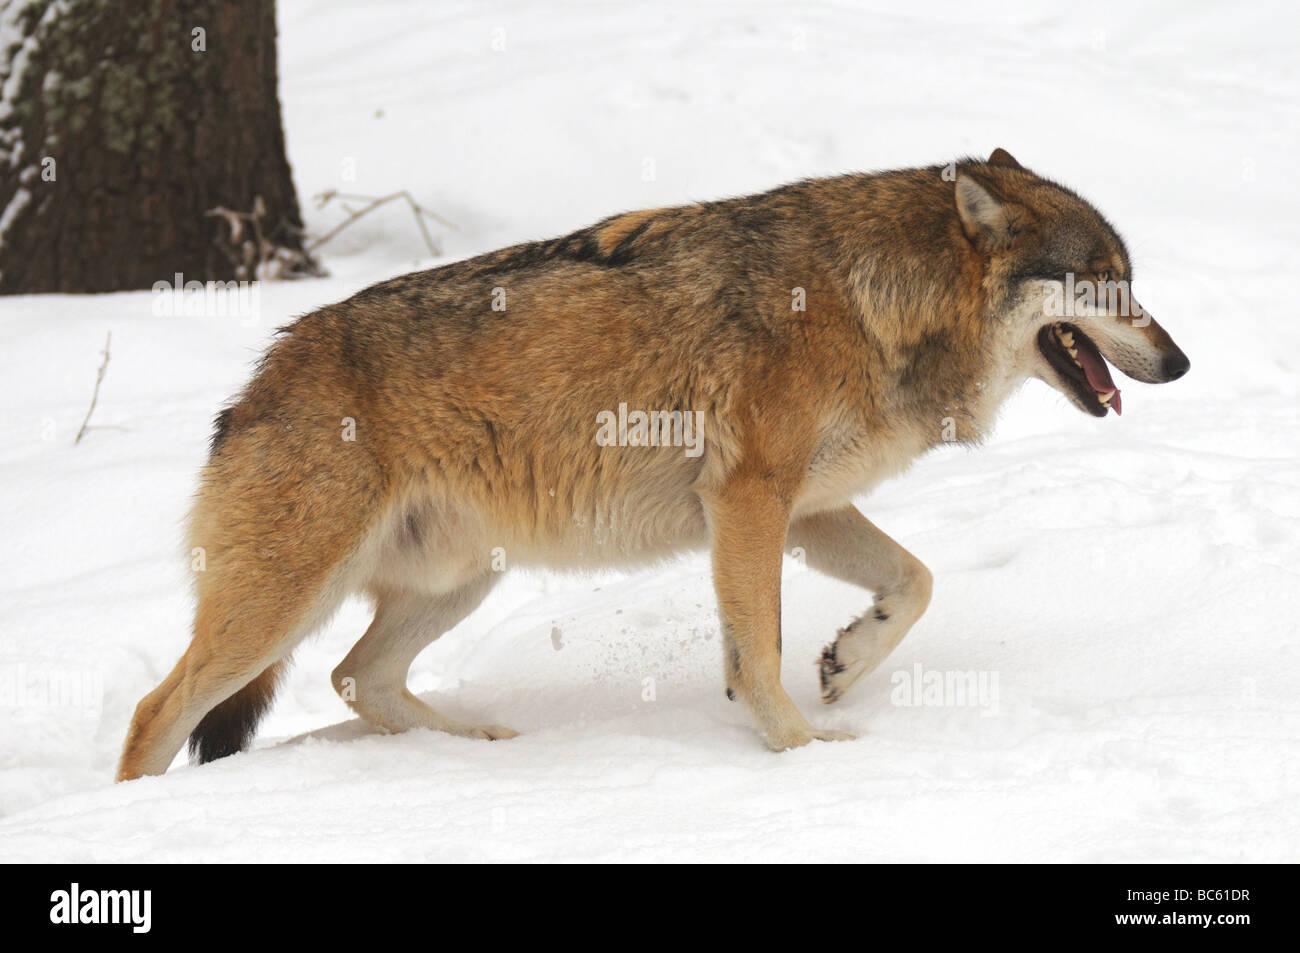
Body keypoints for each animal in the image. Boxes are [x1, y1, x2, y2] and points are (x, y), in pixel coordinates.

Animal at [116, 144, 1190, 774]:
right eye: (1107, 285)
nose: (1181, 362)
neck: (875, 298)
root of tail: (256, 381)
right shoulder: (750, 498)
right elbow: (758, 647)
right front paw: (802, 750)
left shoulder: (801, 510)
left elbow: (916, 582)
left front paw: (846, 661)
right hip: (285, 601)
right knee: (155, 712)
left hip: (457, 582)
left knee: (354, 679)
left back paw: (474, 745)